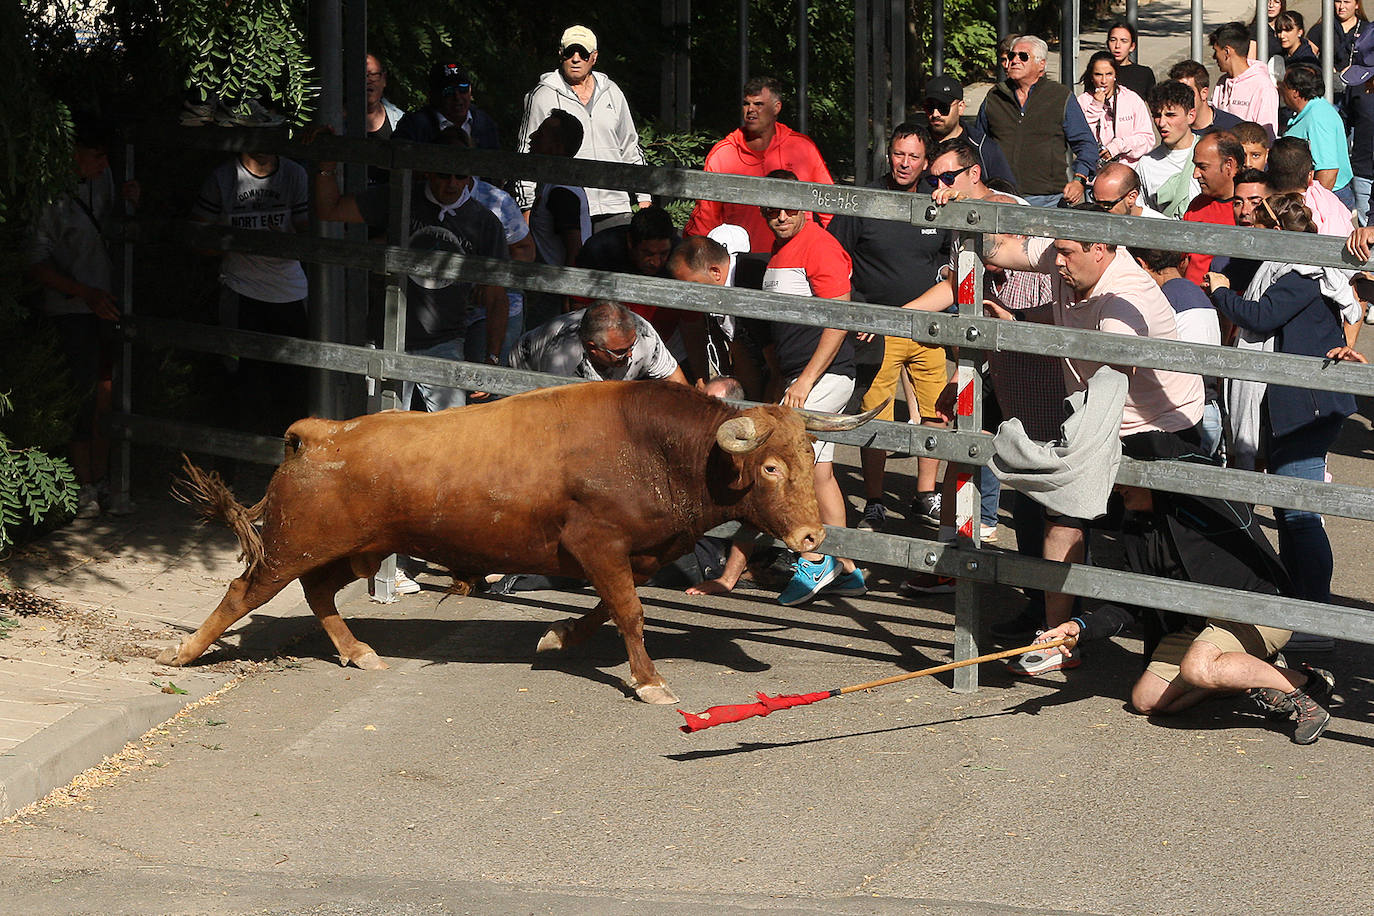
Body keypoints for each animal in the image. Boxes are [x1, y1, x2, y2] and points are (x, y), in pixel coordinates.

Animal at [158, 379, 879, 703]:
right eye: (770, 468)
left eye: (807, 455)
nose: (813, 535)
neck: (660, 449)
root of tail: (317, 434)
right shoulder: (599, 545)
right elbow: (630, 612)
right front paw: (650, 682)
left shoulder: (628, 555)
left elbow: (607, 608)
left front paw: (557, 637)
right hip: (295, 545)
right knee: (244, 591)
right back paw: (185, 652)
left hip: (348, 549)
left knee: (318, 596)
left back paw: (357, 652)